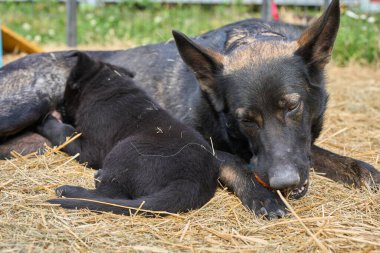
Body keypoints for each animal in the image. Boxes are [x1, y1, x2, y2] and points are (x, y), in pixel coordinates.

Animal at [37, 52, 220, 215]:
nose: (59, 107)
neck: (109, 86)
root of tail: (191, 180)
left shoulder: (90, 149)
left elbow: (64, 131)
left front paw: (44, 120)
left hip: (124, 149)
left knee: (109, 195)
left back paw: (68, 190)